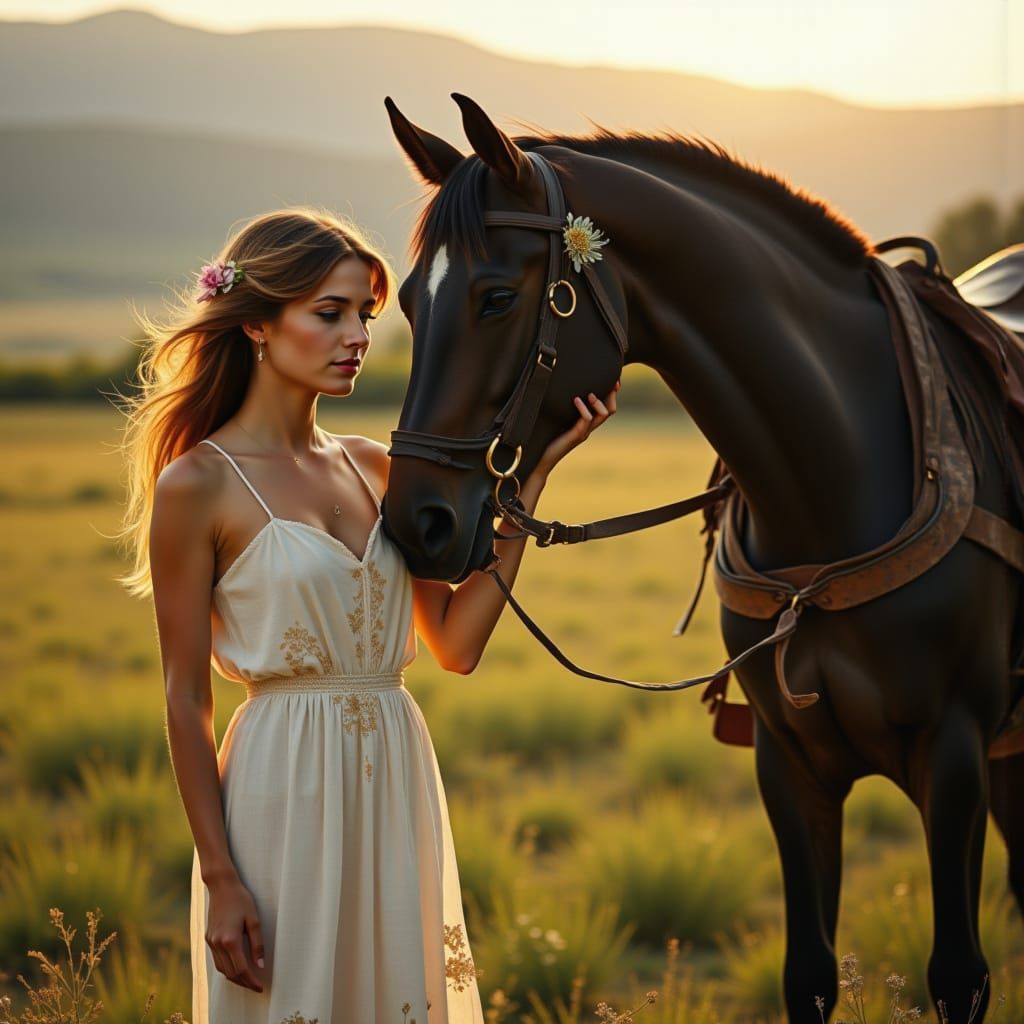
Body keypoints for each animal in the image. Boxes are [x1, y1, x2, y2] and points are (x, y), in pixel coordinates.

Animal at [379, 93, 1024, 1022]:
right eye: (403, 303)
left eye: (496, 297)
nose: (415, 522)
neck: (838, 481)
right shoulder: (789, 767)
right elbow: (809, 976)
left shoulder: (957, 757)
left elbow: (959, 977)